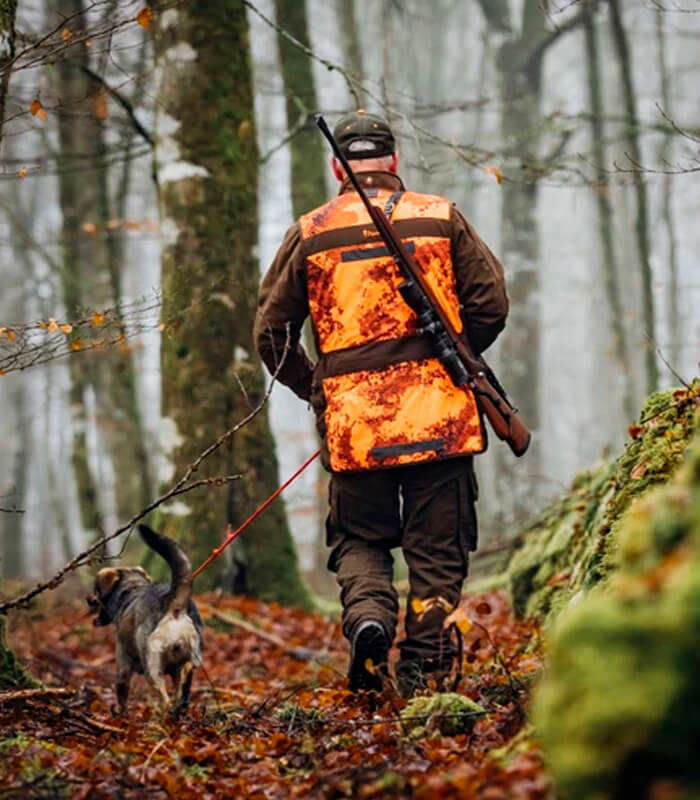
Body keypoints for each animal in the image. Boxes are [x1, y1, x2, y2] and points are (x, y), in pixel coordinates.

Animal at [86, 524, 204, 720]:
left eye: (96, 590)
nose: (87, 599)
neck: (131, 590)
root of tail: (174, 607)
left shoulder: (123, 667)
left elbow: (122, 695)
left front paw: (122, 717)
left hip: (152, 668)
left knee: (164, 698)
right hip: (191, 657)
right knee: (185, 676)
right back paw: (179, 708)